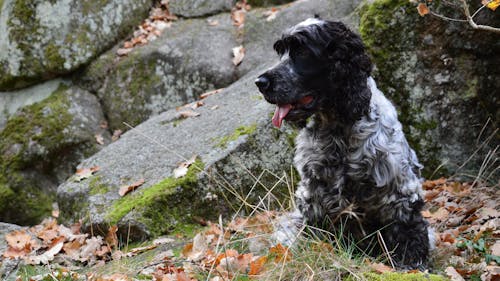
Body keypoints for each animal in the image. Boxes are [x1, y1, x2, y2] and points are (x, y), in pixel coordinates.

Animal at [254, 18, 434, 268]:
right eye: (281, 52)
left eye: (302, 52)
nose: (259, 82)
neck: (338, 129)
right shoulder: (314, 192)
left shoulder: (398, 190)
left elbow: (408, 230)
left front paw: (411, 265)